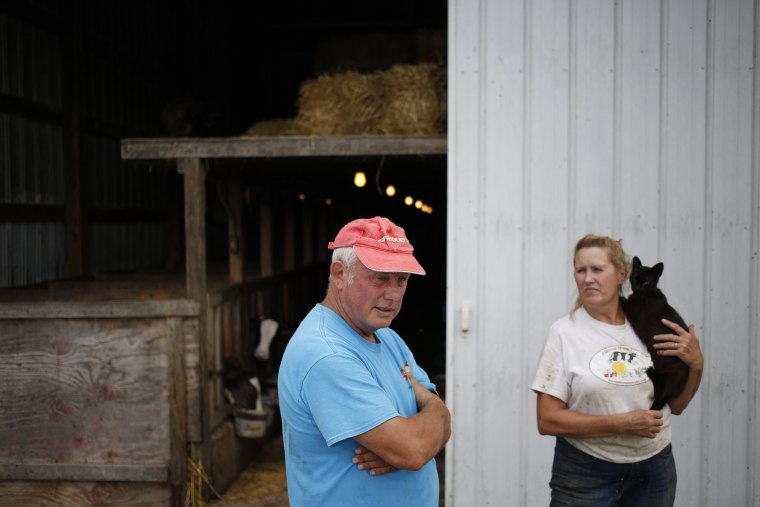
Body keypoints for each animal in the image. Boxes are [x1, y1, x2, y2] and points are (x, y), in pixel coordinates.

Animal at [624, 258, 688, 412]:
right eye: (635, 278)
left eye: (646, 282)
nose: (637, 287)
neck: (644, 296)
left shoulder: (636, 318)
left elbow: (623, 301)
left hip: (670, 376)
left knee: (659, 394)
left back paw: (650, 372)